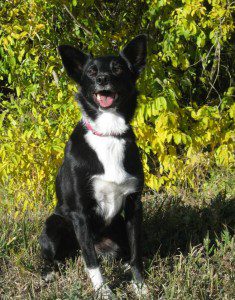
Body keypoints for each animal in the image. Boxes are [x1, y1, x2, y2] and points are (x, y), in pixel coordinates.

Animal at [39, 35, 148, 298]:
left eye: (118, 68)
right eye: (91, 71)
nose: (103, 80)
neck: (108, 133)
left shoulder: (134, 205)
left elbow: (135, 253)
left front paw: (140, 286)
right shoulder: (80, 214)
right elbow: (91, 261)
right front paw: (104, 291)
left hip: (117, 230)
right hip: (53, 226)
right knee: (59, 257)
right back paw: (48, 272)